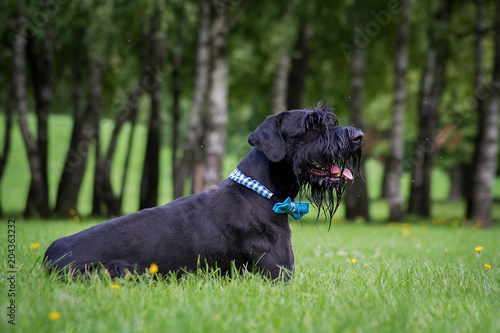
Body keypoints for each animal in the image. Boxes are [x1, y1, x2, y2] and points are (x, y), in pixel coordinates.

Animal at [43, 104, 362, 280]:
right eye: (311, 125)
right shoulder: (278, 275)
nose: (358, 136)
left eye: (329, 120)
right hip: (125, 271)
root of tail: (48, 257)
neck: (262, 194)